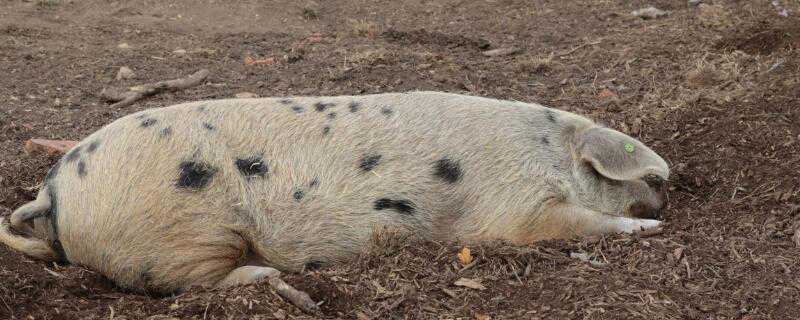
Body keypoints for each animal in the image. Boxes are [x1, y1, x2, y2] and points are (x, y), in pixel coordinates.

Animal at [0, 91, 668, 312]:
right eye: (653, 182)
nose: (666, 202)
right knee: (188, 284)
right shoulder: (517, 210)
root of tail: (54, 191)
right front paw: (650, 232)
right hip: (180, 236)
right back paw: (276, 282)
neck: (551, 153)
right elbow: (580, 222)